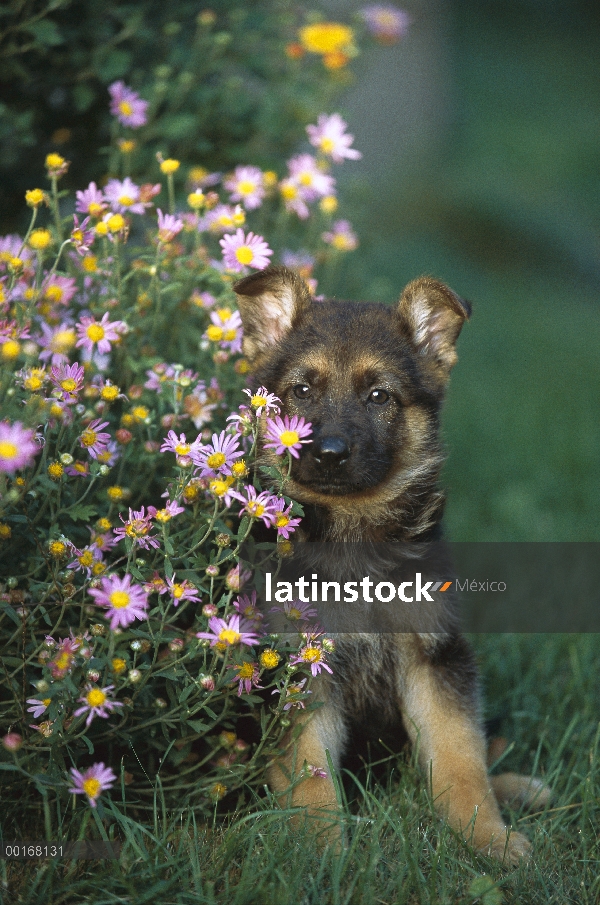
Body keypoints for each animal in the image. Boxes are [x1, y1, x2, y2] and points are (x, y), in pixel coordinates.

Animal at [233, 266, 548, 860]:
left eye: (379, 396)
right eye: (302, 391)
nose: (329, 453)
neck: (354, 536)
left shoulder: (435, 655)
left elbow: (459, 755)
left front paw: (486, 835)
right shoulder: (300, 667)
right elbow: (310, 774)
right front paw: (320, 851)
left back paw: (517, 786)